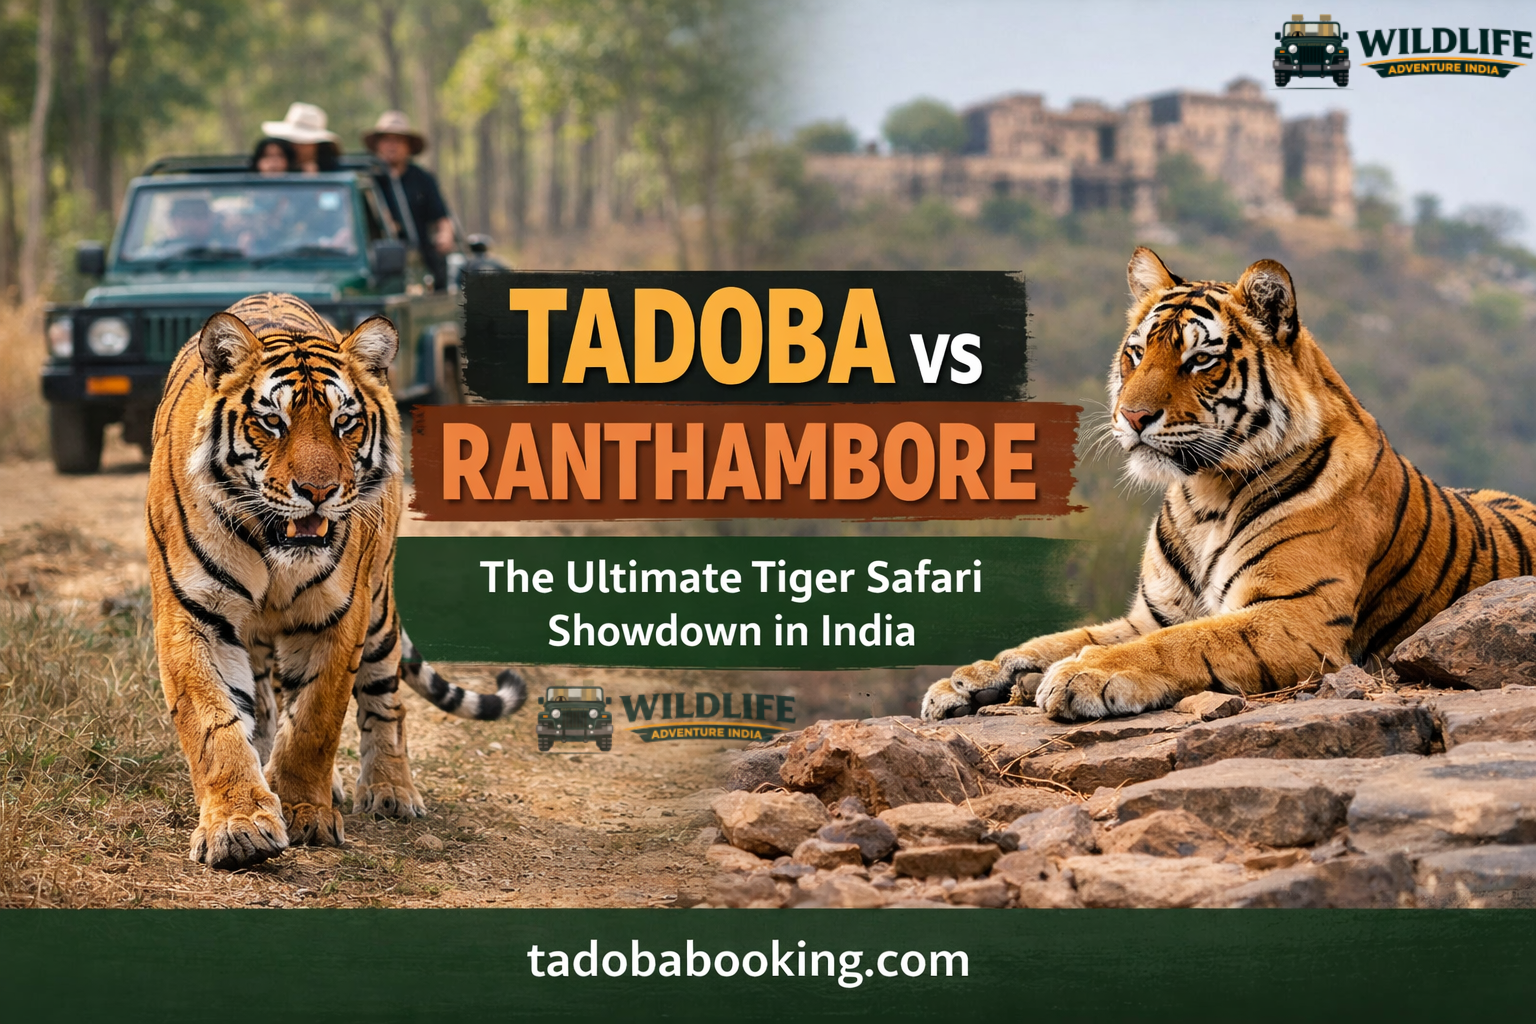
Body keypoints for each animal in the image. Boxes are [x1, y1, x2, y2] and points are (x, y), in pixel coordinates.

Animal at [146, 292, 525, 870]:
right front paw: (239, 824)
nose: (318, 492)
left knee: (386, 700)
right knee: (265, 704)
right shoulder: (192, 614)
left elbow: (315, 722)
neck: (271, 546)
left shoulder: (338, 615)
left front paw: (305, 810)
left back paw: (390, 790)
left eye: (345, 421)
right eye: (272, 422)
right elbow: (216, 724)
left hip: (379, 609)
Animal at [922, 248, 1536, 723]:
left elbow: (1178, 644)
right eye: (1137, 352)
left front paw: (1084, 676)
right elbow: (1058, 639)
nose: (1131, 416)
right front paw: (966, 678)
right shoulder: (1151, 613)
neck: (1203, 497)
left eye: (1199, 360)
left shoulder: (1292, 617)